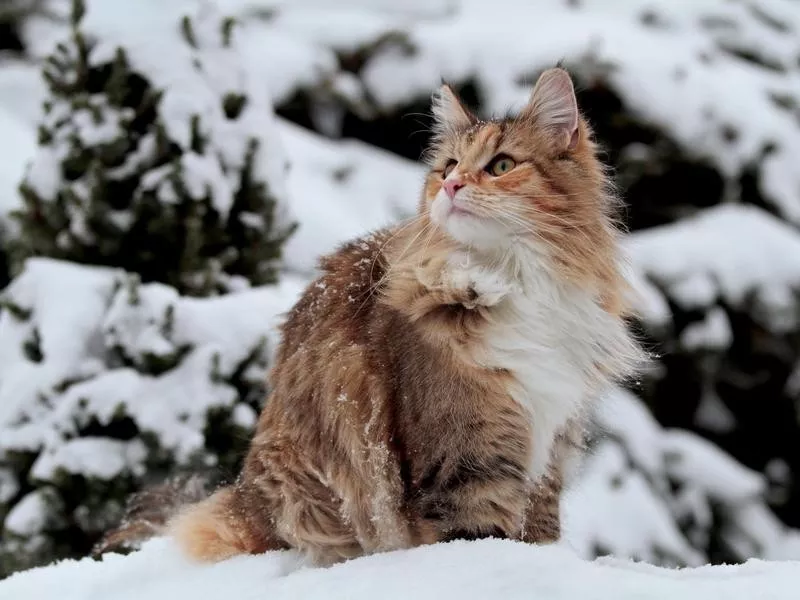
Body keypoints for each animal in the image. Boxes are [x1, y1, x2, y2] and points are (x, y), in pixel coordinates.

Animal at [98, 68, 644, 564]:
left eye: (502, 164)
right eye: (448, 166)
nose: (451, 186)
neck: (512, 279)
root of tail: (242, 492)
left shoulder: (550, 445)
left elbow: (540, 534)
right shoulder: (465, 459)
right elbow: (479, 540)